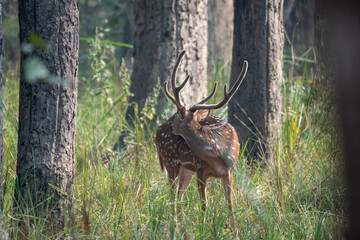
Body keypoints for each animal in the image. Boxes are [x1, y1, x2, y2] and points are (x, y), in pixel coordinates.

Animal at [155, 49, 248, 228]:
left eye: (175, 117)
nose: (170, 127)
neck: (217, 151)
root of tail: (156, 132)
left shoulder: (229, 171)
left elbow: (230, 204)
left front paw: (235, 230)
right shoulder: (200, 170)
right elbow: (204, 204)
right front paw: (203, 228)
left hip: (185, 170)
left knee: (179, 194)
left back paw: (180, 223)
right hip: (170, 162)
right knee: (172, 194)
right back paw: (174, 224)